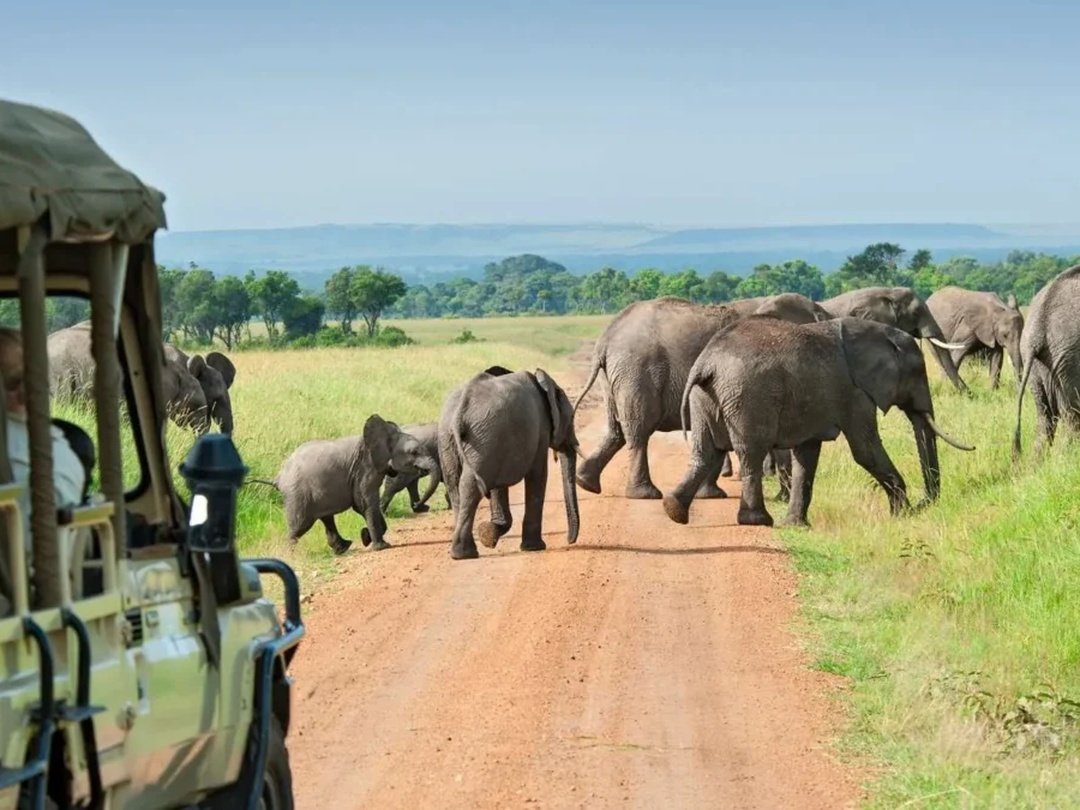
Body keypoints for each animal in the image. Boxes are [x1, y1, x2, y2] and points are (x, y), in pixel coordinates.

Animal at [256, 414, 438, 554]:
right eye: (413, 452)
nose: (417, 506)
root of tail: (278, 477)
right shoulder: (365, 469)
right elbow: (364, 503)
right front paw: (381, 546)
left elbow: (363, 506)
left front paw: (366, 537)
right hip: (297, 494)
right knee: (299, 526)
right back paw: (289, 556)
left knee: (326, 519)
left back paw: (343, 548)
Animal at [438, 367, 581, 560]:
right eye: (572, 417)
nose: (569, 541)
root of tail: (461, 409)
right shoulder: (540, 431)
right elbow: (538, 475)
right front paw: (533, 547)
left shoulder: (501, 443)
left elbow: (499, 487)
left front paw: (488, 535)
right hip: (482, 438)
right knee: (470, 486)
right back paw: (465, 553)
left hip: (456, 439)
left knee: (456, 486)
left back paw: (462, 553)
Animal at [574, 293, 829, 500]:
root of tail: (605, 339)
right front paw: (781, 498)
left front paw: (710, 495)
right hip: (637, 371)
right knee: (639, 429)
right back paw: (645, 494)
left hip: (615, 376)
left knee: (616, 429)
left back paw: (585, 482)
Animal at [662, 315, 975, 528]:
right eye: (918, 372)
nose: (925, 504)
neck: (878, 334)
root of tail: (706, 363)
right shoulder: (854, 393)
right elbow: (865, 450)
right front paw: (902, 515)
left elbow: (807, 455)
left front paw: (797, 526)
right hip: (747, 396)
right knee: (751, 452)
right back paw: (758, 521)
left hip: (706, 398)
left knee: (705, 452)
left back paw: (673, 509)